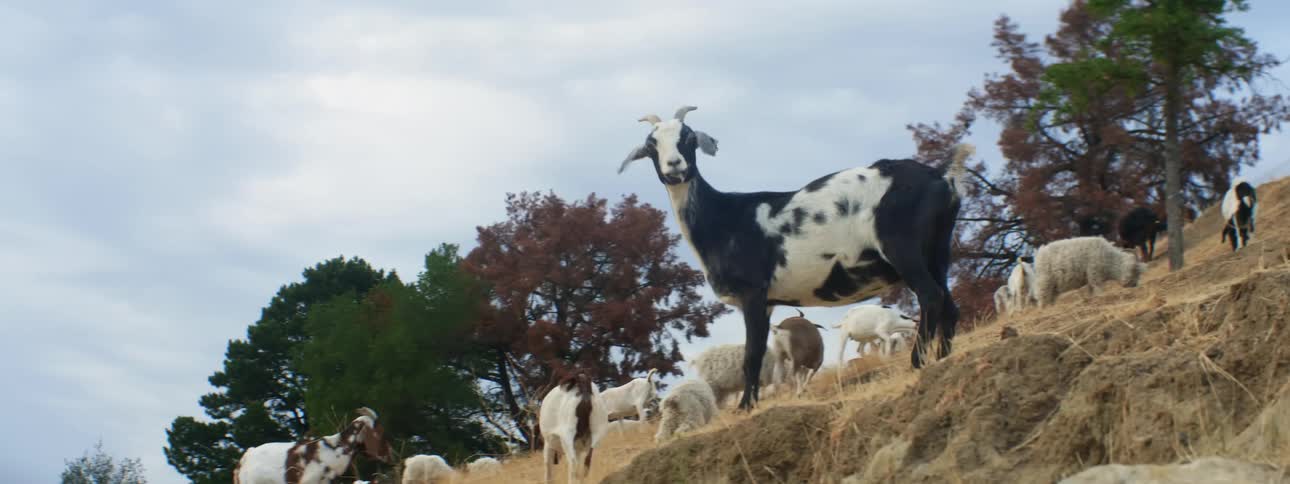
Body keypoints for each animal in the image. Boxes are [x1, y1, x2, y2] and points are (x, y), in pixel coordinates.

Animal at [619, 105, 971, 408]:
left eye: (689, 137)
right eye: (651, 145)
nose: (675, 167)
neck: (723, 219)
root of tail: (942, 179)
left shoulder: (754, 292)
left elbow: (752, 355)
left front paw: (745, 407)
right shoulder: (768, 301)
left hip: (903, 247)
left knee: (931, 296)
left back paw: (917, 362)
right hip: (937, 249)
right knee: (949, 305)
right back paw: (942, 357)